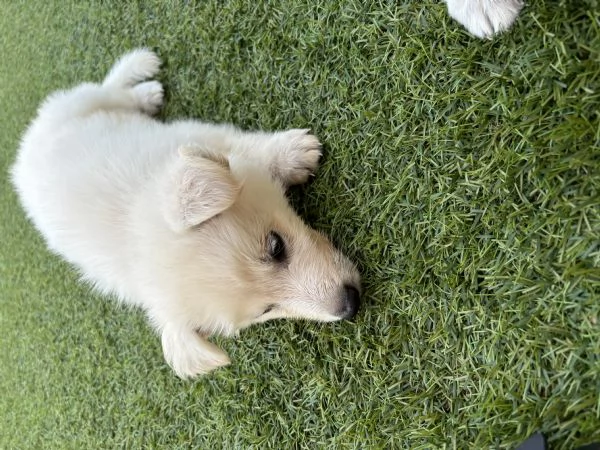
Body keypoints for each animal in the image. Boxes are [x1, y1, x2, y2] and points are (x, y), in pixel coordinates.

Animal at [11, 49, 360, 378]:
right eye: (266, 310)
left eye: (275, 246)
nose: (350, 305)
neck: (135, 227)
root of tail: (23, 154)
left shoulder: (196, 137)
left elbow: (250, 151)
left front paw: (293, 154)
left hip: (82, 105)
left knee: (109, 89)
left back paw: (143, 78)